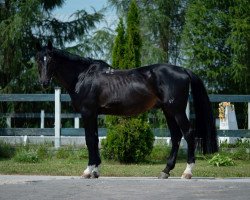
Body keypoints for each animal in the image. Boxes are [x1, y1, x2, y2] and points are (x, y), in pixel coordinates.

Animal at [36, 41, 218, 179]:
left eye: (51, 60)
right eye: (38, 60)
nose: (44, 82)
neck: (83, 77)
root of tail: (183, 70)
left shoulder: (87, 113)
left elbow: (89, 140)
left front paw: (88, 171)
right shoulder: (93, 114)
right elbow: (95, 140)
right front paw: (96, 171)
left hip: (177, 111)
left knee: (188, 134)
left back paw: (187, 172)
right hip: (168, 111)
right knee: (176, 137)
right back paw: (165, 171)